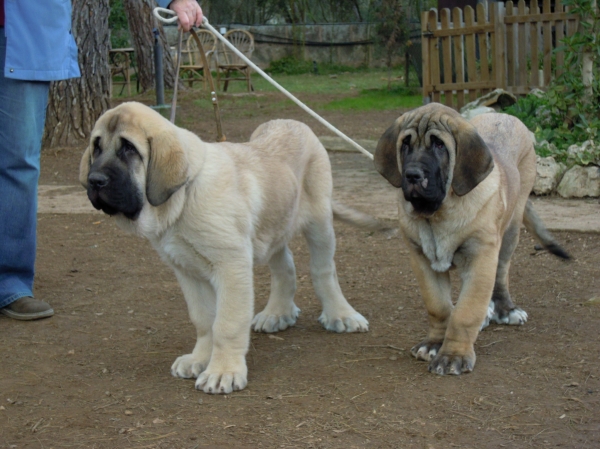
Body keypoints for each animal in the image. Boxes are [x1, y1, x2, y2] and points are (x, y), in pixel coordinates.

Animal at [81, 100, 384, 392]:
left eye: (129, 149)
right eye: (97, 147)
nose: (94, 181)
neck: (184, 197)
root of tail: (291, 122)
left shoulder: (231, 266)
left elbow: (226, 324)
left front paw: (222, 372)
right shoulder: (187, 271)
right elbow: (204, 320)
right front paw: (200, 359)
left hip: (319, 223)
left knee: (324, 270)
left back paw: (340, 315)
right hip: (273, 227)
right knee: (285, 267)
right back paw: (277, 313)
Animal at [376, 104, 568, 374]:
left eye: (439, 145)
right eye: (405, 144)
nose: (412, 175)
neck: (438, 214)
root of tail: (503, 115)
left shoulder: (480, 257)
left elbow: (465, 312)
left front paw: (453, 355)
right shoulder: (421, 260)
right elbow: (439, 307)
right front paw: (434, 344)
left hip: (511, 230)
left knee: (501, 274)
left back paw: (505, 310)